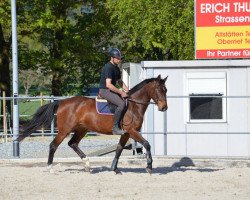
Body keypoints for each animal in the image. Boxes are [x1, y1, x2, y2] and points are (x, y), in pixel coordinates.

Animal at [16, 74, 167, 173]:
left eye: (166, 90)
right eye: (159, 90)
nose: (164, 107)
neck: (133, 106)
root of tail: (62, 102)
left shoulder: (126, 133)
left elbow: (119, 148)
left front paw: (114, 169)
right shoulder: (132, 131)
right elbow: (147, 144)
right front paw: (149, 167)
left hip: (81, 130)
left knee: (72, 143)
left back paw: (87, 165)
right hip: (65, 130)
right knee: (53, 145)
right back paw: (50, 168)